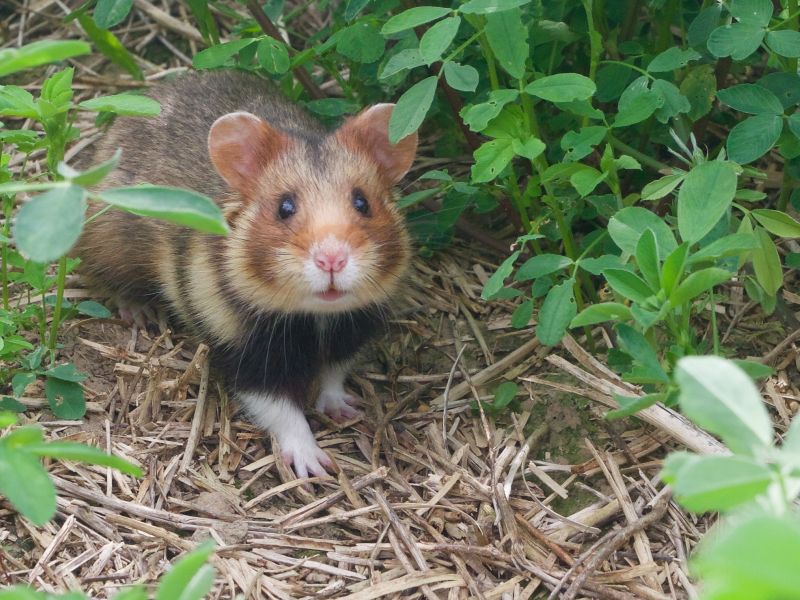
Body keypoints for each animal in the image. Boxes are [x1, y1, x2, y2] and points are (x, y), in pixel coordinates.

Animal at [74, 70, 417, 478]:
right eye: (285, 207)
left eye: (363, 203)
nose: (332, 260)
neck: (314, 316)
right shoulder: (242, 349)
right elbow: (282, 410)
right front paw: (313, 467)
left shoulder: (350, 329)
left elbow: (333, 374)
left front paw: (345, 410)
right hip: (108, 241)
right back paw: (140, 313)